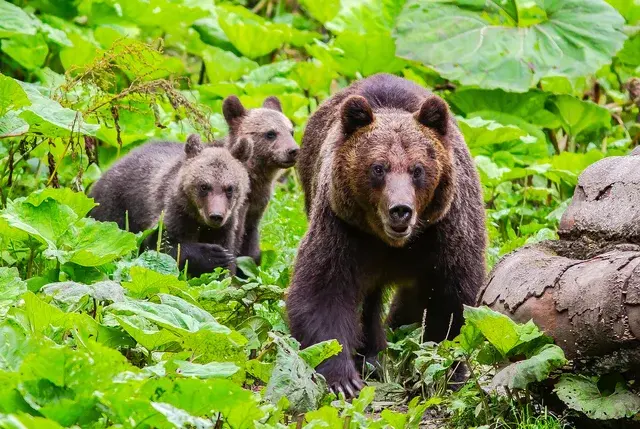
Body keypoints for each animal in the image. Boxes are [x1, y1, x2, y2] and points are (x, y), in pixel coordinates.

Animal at [89, 134, 252, 277]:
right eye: (204, 186)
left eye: (229, 188)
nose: (216, 216)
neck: (198, 220)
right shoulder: (172, 214)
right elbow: (161, 247)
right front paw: (213, 255)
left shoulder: (226, 229)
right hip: (115, 208)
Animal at [286, 74, 486, 398]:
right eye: (378, 168)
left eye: (417, 169)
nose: (400, 210)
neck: (394, 243)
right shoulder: (343, 228)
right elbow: (322, 291)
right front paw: (344, 379)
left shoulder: (445, 231)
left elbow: (451, 297)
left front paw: (442, 374)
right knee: (368, 301)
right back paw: (372, 356)